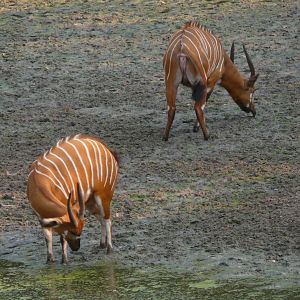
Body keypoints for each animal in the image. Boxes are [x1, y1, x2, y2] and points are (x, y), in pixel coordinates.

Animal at [26, 134, 118, 262]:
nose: (76, 248)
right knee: (101, 218)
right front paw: (50, 260)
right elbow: (48, 238)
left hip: (104, 195)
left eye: (79, 231)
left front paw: (64, 261)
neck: (38, 182)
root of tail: (106, 149)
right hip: (89, 201)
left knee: (107, 219)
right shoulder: (41, 218)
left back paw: (109, 249)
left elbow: (61, 239)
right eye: (73, 231)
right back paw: (102, 244)